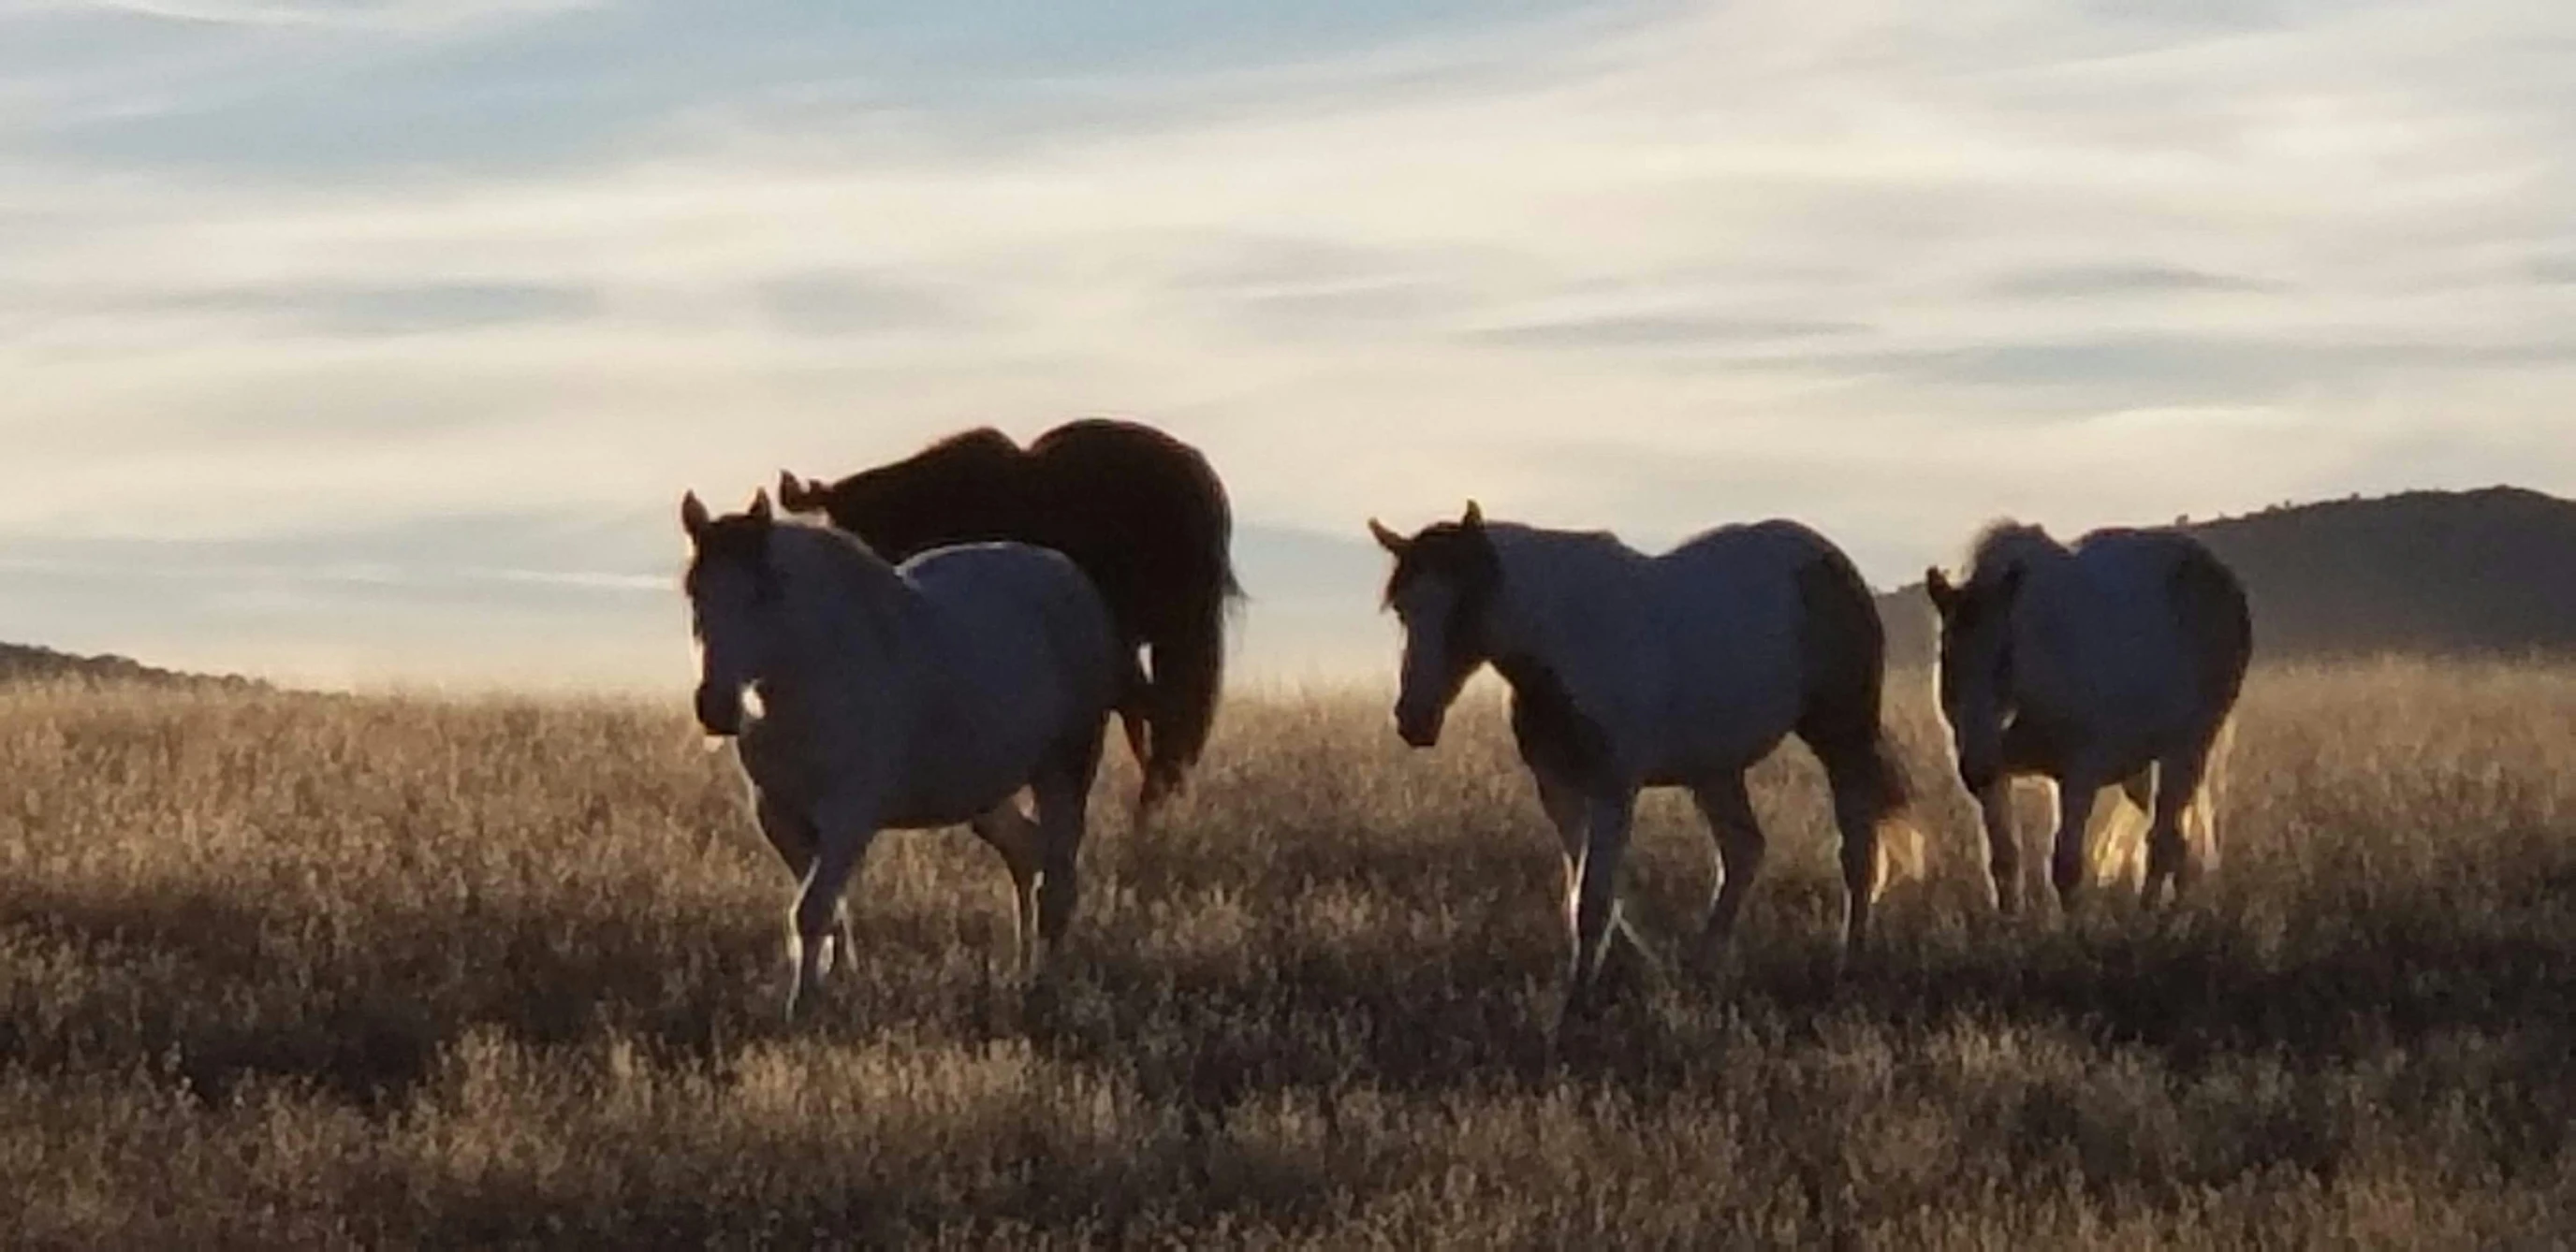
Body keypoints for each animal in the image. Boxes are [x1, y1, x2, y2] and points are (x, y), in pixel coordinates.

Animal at [685, 489, 1128, 1014]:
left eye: (762, 594)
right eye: (694, 592)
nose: (716, 707)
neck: (817, 671)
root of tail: (1071, 579)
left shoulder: (848, 819)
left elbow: (812, 911)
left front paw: (801, 1012)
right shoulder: (780, 818)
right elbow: (828, 909)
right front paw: (837, 982)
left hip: (1064, 770)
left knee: (1057, 885)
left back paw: (1042, 986)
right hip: (986, 797)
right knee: (1027, 856)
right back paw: (1021, 972)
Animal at [1370, 502, 1916, 1014]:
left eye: (1466, 605)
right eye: (1402, 609)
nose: (1414, 720)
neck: (1568, 636)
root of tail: (1829, 560)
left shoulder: (1615, 789)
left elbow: (1593, 900)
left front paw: (1576, 1007)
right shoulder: (1559, 790)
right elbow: (1590, 893)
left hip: (1842, 739)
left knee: (1856, 854)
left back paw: (1847, 969)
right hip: (1714, 770)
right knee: (1743, 851)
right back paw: (1700, 970)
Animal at [1926, 512, 2246, 917]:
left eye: (2004, 657)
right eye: (1946, 655)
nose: (1976, 767)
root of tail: (2221, 577)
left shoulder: (2077, 776)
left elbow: (2066, 868)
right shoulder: (1995, 781)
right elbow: (2004, 862)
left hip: (2189, 749)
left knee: (2163, 840)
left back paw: (2153, 918)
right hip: (2140, 767)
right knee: (2176, 839)